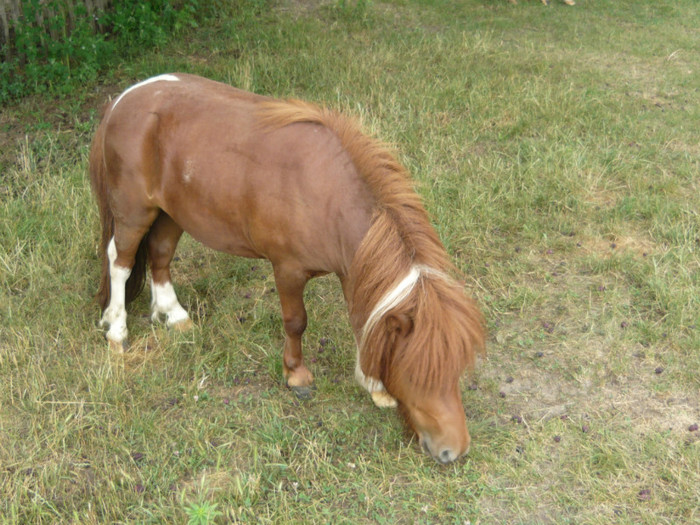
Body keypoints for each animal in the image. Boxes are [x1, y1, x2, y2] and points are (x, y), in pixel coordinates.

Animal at [89, 71, 486, 460]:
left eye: (455, 370)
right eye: (418, 374)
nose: (454, 450)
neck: (328, 194)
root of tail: (121, 101)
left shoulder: (353, 271)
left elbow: (362, 321)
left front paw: (374, 386)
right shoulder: (289, 269)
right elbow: (296, 322)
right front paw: (296, 375)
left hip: (171, 213)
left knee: (159, 254)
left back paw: (173, 314)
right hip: (134, 212)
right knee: (120, 262)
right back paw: (117, 330)